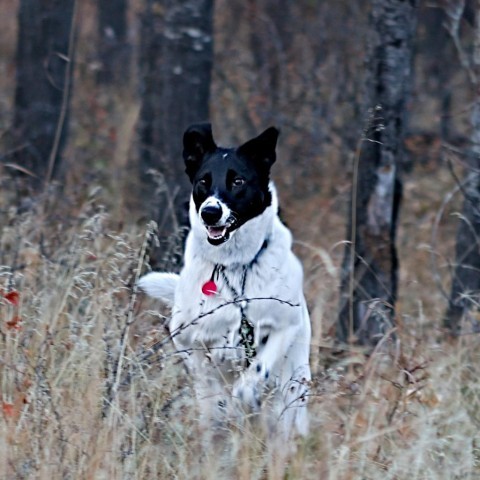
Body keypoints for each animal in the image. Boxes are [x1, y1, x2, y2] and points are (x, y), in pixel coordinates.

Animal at [139, 124, 312, 438]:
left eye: (238, 181)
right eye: (203, 182)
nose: (210, 212)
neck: (234, 265)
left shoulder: (284, 325)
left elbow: (256, 372)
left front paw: (244, 395)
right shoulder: (187, 336)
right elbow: (208, 386)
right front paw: (221, 407)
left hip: (292, 392)